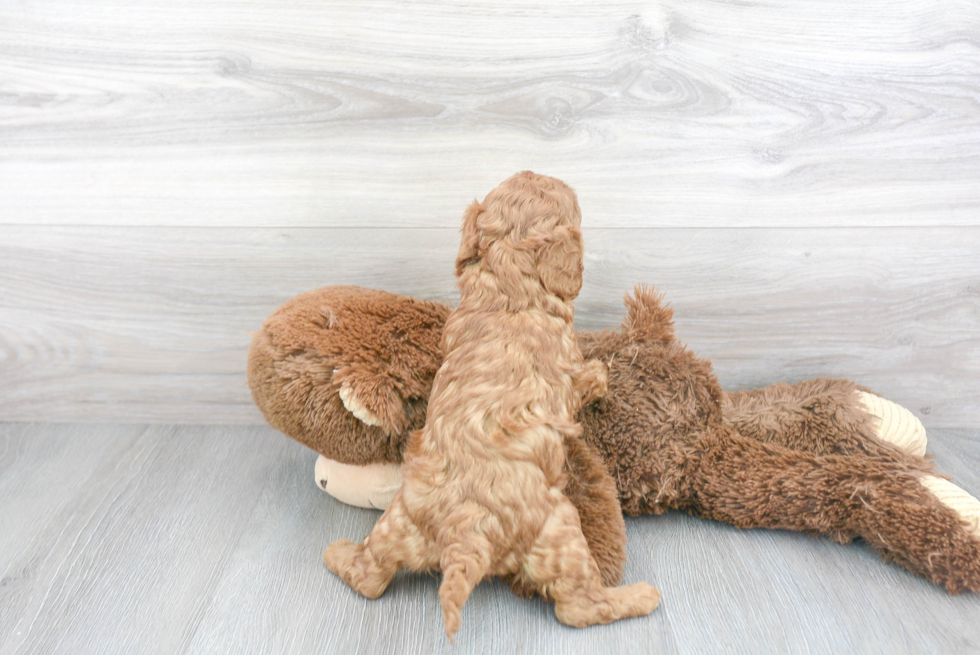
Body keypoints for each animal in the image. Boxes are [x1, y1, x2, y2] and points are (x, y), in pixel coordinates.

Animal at [326, 173, 664, 640]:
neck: (507, 281)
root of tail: (463, 537)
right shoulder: (566, 371)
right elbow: (585, 380)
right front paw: (601, 374)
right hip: (559, 530)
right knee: (576, 608)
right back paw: (637, 597)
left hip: (400, 523)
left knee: (370, 577)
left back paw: (339, 554)